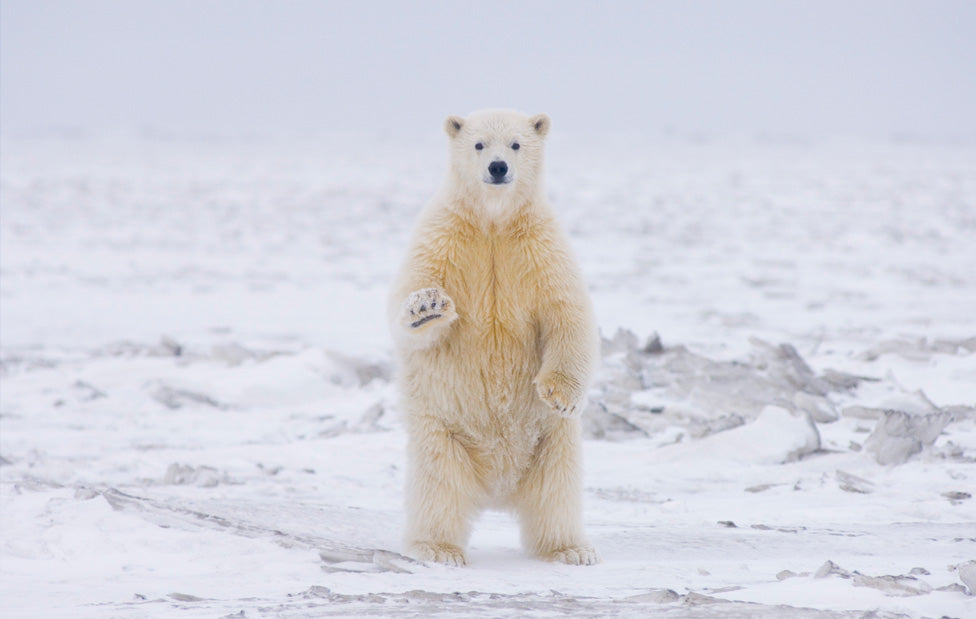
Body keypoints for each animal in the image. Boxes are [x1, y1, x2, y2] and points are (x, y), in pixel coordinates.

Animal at [389, 109, 599, 567]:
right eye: (479, 144)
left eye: (516, 144)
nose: (498, 167)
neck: (493, 222)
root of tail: (496, 491)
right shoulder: (444, 237)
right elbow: (410, 303)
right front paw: (426, 306)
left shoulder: (540, 247)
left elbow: (567, 313)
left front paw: (561, 394)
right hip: (442, 433)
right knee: (438, 488)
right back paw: (438, 548)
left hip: (552, 441)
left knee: (557, 492)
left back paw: (571, 548)